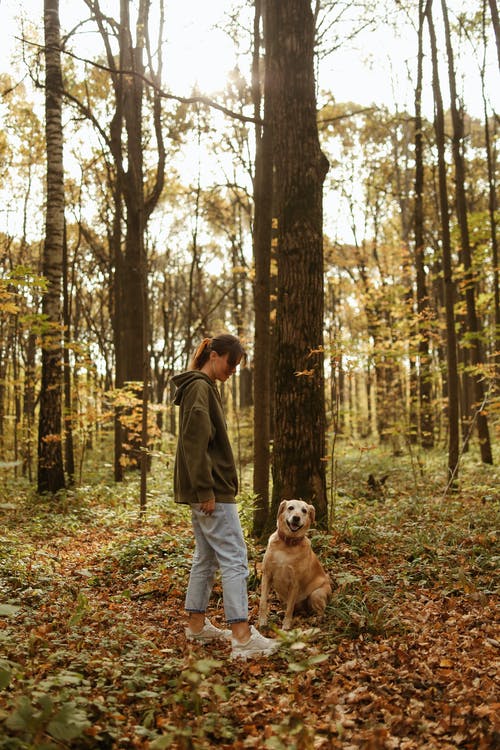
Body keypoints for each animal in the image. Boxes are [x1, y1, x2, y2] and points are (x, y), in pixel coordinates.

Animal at [258, 502, 332, 632]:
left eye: (304, 511)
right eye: (290, 508)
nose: (296, 518)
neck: (287, 545)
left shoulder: (295, 583)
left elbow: (290, 609)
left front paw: (286, 625)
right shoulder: (266, 575)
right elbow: (263, 602)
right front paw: (262, 622)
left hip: (316, 594)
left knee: (321, 613)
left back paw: (315, 620)